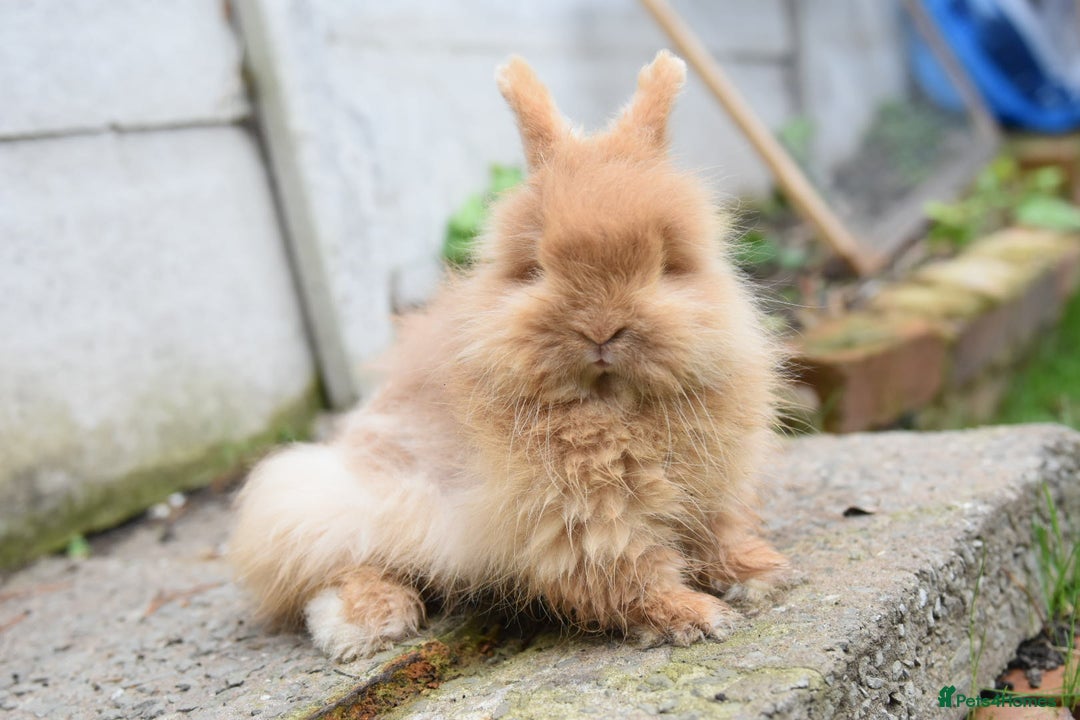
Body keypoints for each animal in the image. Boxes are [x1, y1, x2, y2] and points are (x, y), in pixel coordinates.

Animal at [229, 50, 790, 662]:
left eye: (668, 263)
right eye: (536, 266)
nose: (601, 327)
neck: (611, 404)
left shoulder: (715, 490)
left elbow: (718, 533)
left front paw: (759, 573)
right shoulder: (585, 521)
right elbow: (629, 576)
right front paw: (694, 618)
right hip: (337, 503)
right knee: (334, 568)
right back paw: (365, 625)